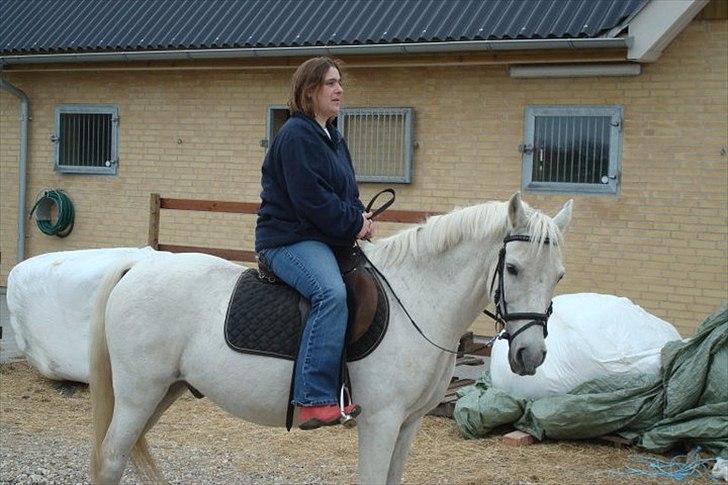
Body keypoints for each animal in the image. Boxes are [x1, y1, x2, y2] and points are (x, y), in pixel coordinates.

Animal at [88, 191, 572, 482]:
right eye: (513, 268)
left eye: (559, 275)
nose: (531, 354)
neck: (417, 296)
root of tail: (139, 264)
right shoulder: (381, 420)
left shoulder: (409, 423)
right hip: (138, 393)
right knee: (110, 458)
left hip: (161, 393)